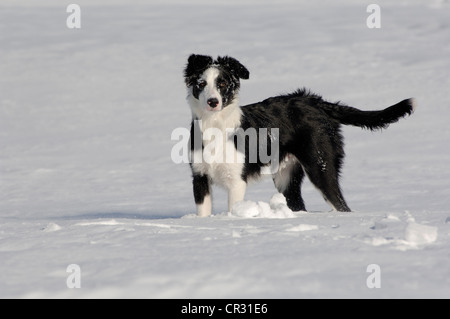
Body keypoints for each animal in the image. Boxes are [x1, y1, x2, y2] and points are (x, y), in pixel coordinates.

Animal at [183, 54, 414, 218]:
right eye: (201, 84)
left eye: (222, 84)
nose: (213, 102)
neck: (215, 126)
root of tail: (314, 101)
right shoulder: (199, 177)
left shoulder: (236, 181)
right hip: (287, 178)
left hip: (321, 167)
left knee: (341, 206)